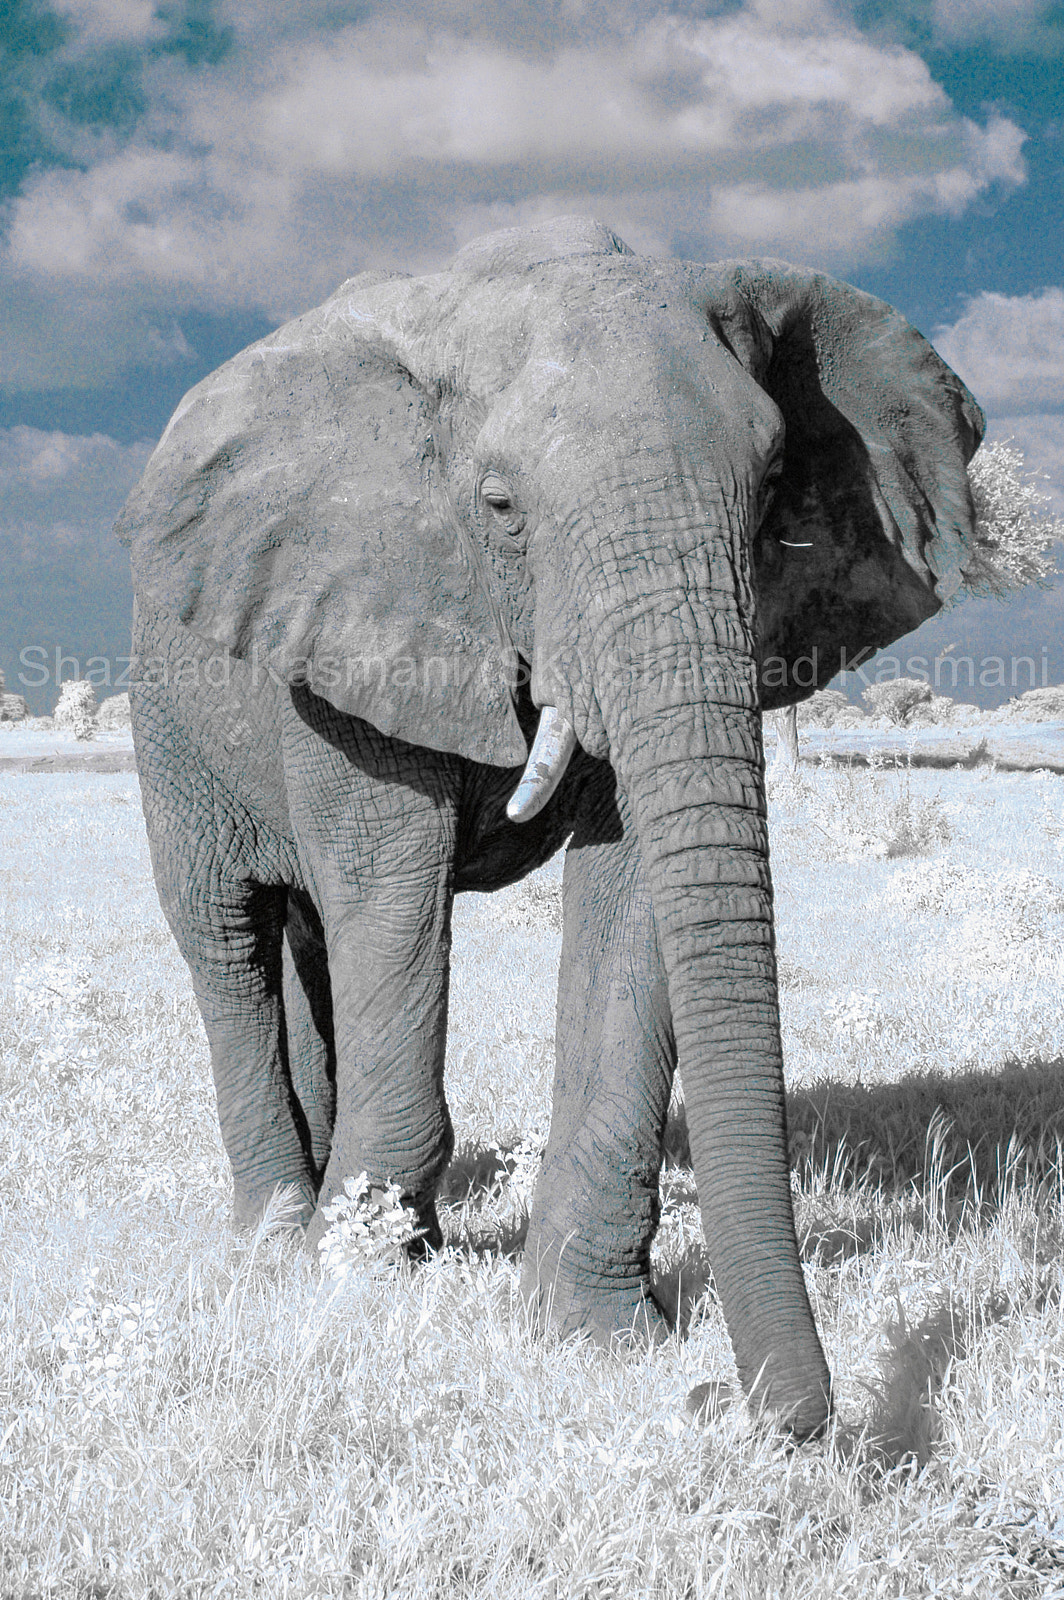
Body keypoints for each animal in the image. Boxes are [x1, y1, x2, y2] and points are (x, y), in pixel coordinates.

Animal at [115, 215, 984, 1438]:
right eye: (498, 505)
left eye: (776, 485)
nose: (732, 1401)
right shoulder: (345, 626)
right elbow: (392, 893)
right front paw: (363, 1283)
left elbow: (633, 897)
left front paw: (592, 1335)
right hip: (168, 716)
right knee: (228, 935)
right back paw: (276, 1233)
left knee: (307, 944)